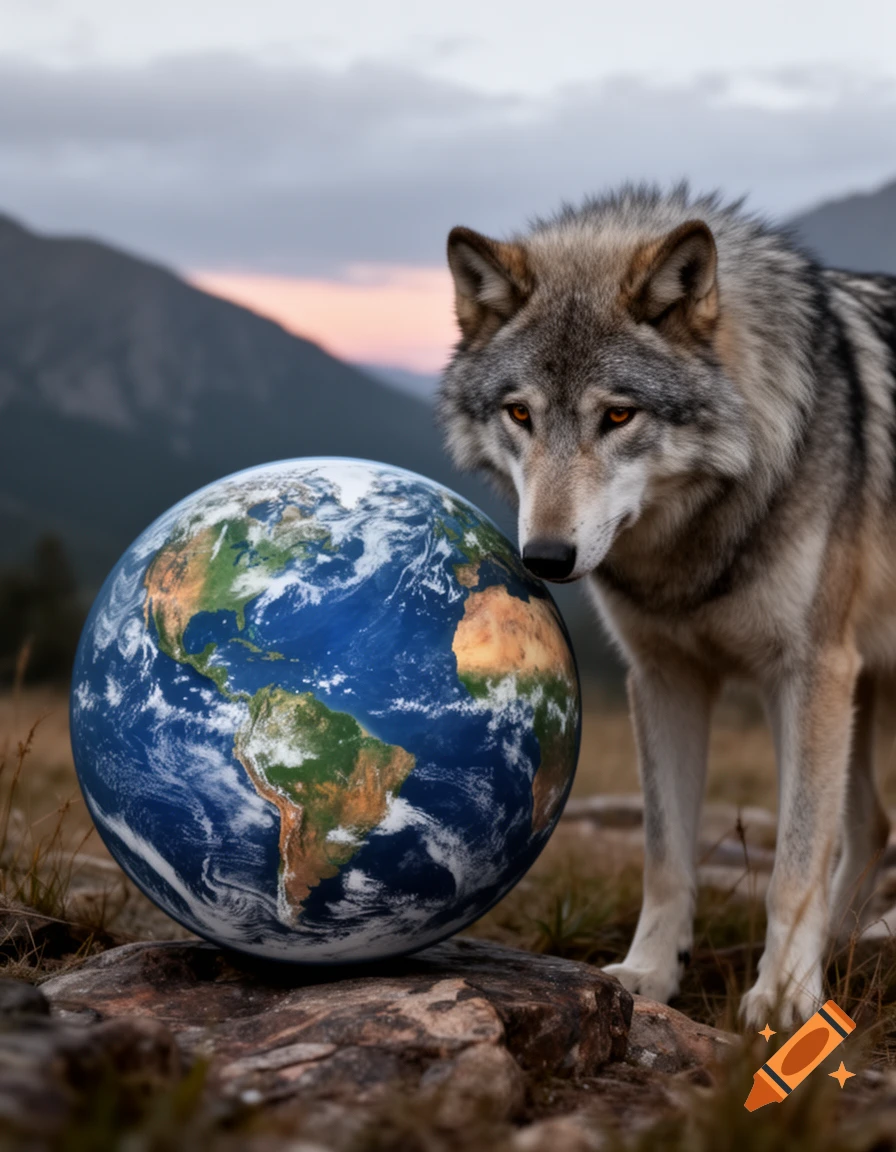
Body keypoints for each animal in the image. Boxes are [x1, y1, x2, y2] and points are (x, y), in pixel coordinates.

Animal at [435, 183, 896, 1028]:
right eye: (520, 414)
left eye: (618, 415)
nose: (545, 558)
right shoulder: (665, 677)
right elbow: (666, 854)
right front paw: (650, 973)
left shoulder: (810, 672)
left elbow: (793, 861)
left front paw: (786, 993)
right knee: (870, 823)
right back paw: (849, 945)